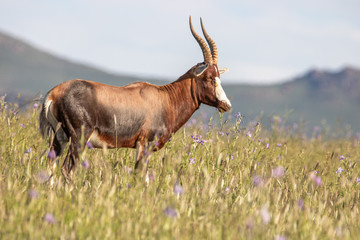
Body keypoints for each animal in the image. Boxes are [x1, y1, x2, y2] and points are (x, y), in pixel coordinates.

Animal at [38, 17, 231, 180]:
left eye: (219, 76)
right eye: (209, 78)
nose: (226, 105)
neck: (165, 98)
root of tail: (54, 93)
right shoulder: (144, 145)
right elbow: (140, 176)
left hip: (59, 139)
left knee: (50, 167)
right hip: (78, 139)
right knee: (67, 169)